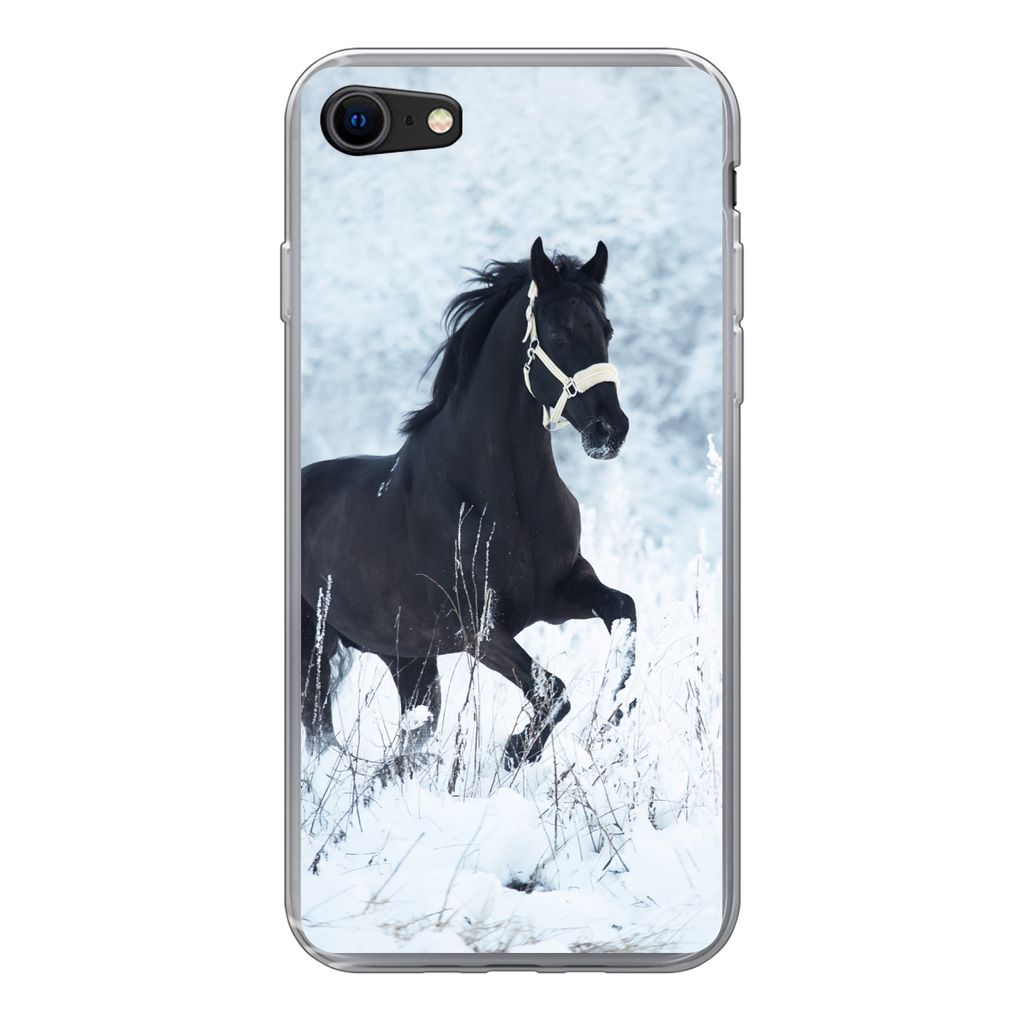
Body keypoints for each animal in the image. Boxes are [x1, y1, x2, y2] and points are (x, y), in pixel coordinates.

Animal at [301, 237, 637, 769]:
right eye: (558, 333)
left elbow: (624, 614)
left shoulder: (562, 593)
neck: (503, 498)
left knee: (409, 733)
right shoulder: (476, 628)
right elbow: (553, 691)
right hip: (314, 648)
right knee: (320, 730)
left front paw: (611, 716)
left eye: (606, 329)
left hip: (408, 659)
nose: (610, 430)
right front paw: (517, 751)